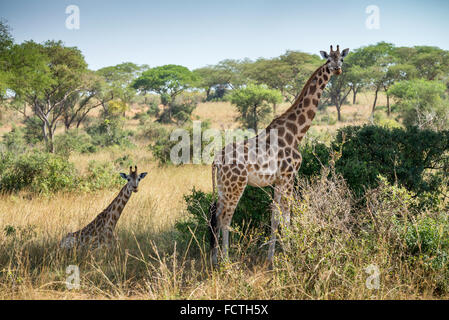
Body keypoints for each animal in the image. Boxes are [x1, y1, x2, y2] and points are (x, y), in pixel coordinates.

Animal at [208, 45, 348, 264]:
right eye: (328, 60)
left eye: (341, 58)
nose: (337, 69)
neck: (296, 133)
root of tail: (216, 161)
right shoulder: (289, 176)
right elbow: (287, 215)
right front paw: (292, 253)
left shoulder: (278, 180)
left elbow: (275, 216)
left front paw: (272, 258)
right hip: (236, 185)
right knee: (225, 219)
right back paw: (227, 262)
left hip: (223, 187)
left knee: (216, 216)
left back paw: (214, 261)